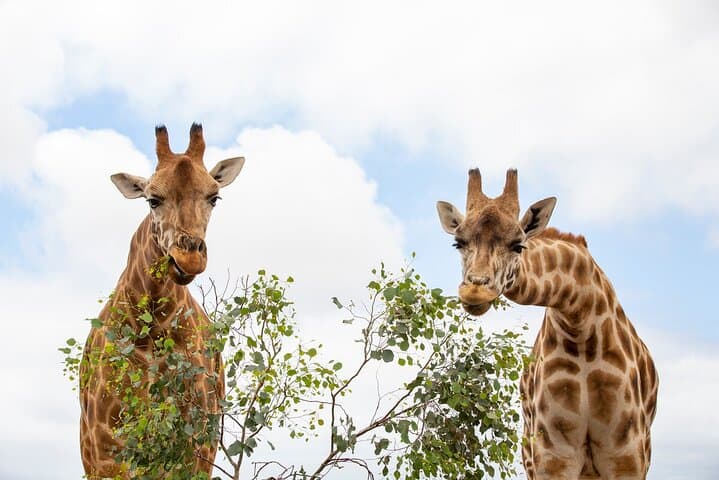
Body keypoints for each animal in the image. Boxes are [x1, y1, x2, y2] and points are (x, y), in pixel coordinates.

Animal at [79, 124, 245, 478]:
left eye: (214, 197)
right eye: (152, 200)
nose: (189, 258)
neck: (153, 328)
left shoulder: (193, 448)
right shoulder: (105, 450)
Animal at [436, 169, 658, 480]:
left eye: (518, 245)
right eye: (459, 243)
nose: (474, 291)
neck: (580, 323)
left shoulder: (627, 455)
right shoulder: (552, 455)